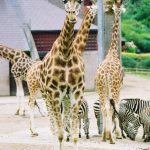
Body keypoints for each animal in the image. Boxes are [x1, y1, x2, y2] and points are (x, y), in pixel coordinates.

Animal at [26, 0, 84, 149]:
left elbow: (74, 135)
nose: (72, 15)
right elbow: (60, 134)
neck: (66, 53)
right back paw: (36, 131)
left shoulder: (76, 92)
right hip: (43, 93)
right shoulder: (55, 93)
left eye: (79, 2)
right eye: (64, 2)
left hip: (63, 97)